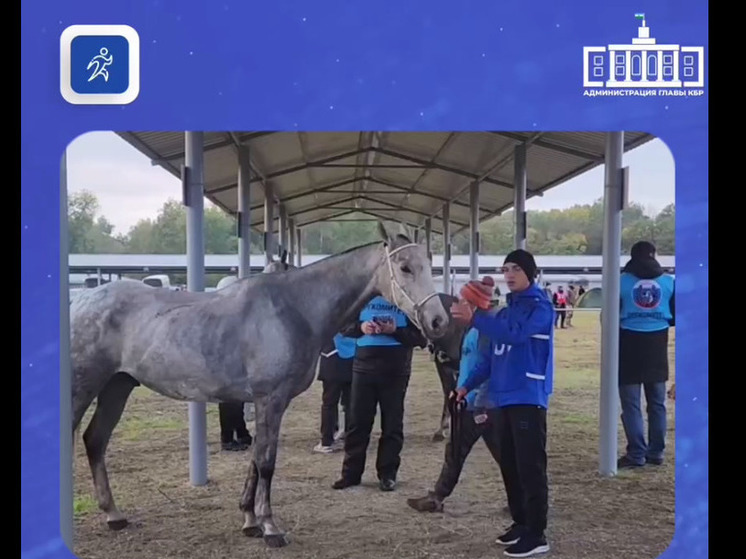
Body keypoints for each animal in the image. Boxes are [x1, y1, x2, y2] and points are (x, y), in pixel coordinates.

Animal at [70, 221, 448, 548]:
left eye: (428, 265)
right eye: (404, 267)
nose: (438, 321)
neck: (294, 308)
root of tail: (80, 300)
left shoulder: (270, 403)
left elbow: (255, 458)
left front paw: (249, 520)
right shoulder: (270, 399)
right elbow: (266, 461)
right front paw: (269, 527)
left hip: (118, 386)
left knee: (95, 440)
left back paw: (114, 515)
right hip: (83, 388)